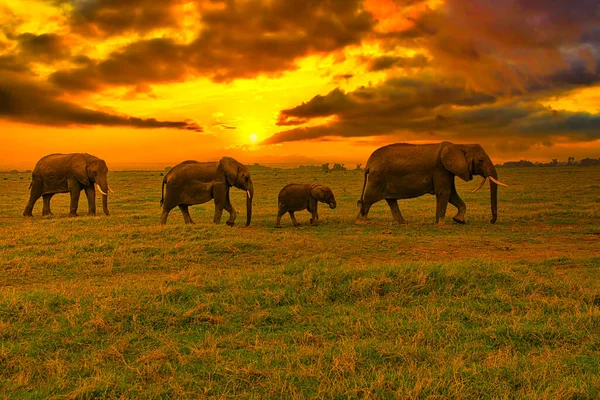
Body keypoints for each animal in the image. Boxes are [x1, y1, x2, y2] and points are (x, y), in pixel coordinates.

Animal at [356, 142, 506, 225]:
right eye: (481, 160)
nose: (491, 221)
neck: (460, 145)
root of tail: (369, 163)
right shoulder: (441, 169)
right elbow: (445, 193)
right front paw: (441, 224)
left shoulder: (448, 170)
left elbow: (451, 194)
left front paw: (459, 221)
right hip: (377, 177)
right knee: (369, 198)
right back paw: (362, 221)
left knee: (391, 200)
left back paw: (403, 223)